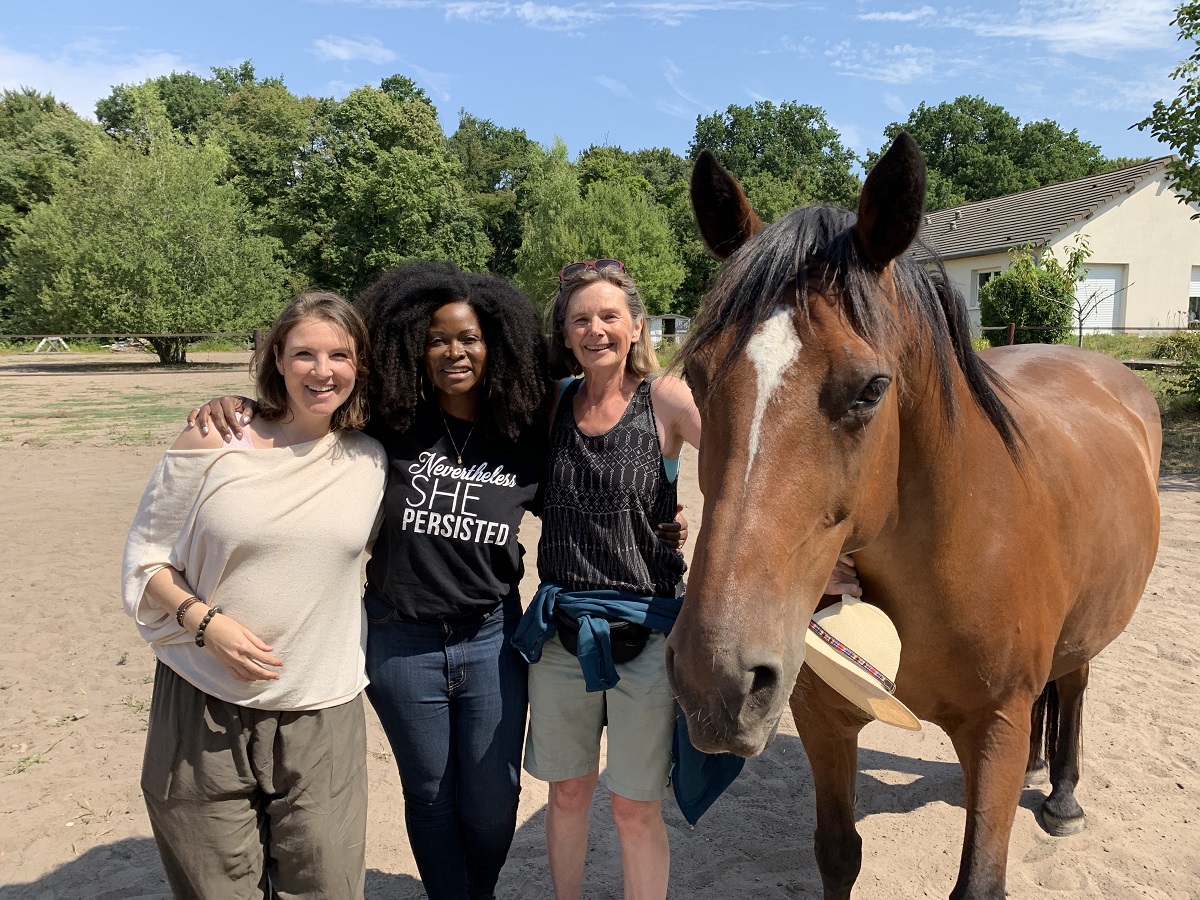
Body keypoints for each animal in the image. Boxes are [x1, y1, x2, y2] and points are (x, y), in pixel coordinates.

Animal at [667, 135, 1161, 900]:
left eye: (873, 388)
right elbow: (837, 853)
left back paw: (1063, 796)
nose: (713, 678)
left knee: (1074, 683)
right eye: (695, 376)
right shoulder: (824, 719)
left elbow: (979, 880)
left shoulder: (996, 728)